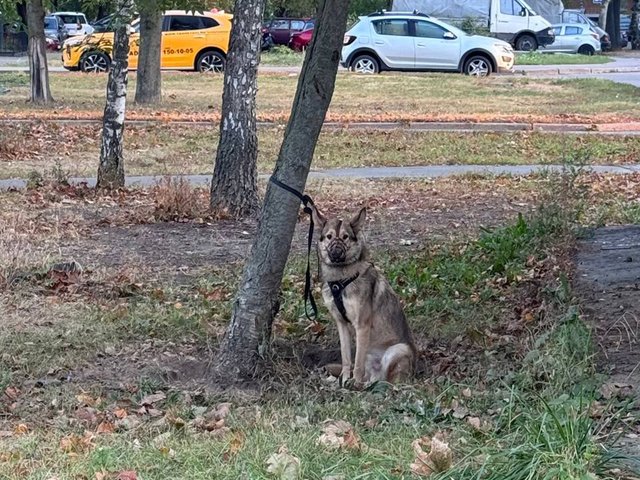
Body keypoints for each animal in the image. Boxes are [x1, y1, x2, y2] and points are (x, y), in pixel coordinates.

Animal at [308, 204, 416, 384]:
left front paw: (353, 382)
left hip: (398, 349)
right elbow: (346, 358)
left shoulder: (362, 326)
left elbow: (357, 362)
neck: (340, 281)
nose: (336, 252)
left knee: (388, 380)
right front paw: (345, 380)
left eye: (345, 237)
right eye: (329, 237)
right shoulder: (342, 325)